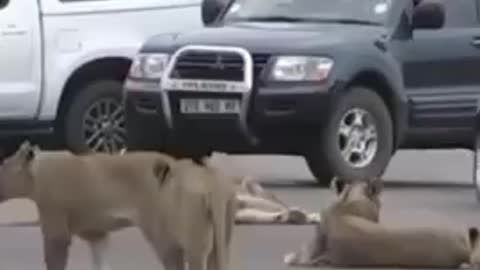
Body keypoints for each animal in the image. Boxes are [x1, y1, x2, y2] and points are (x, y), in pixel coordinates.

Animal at [0, 141, 236, 270]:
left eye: (2, 165)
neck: (36, 171)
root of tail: (211, 182)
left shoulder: (55, 229)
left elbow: (54, 261)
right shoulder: (97, 233)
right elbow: (100, 261)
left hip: (176, 241)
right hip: (221, 235)